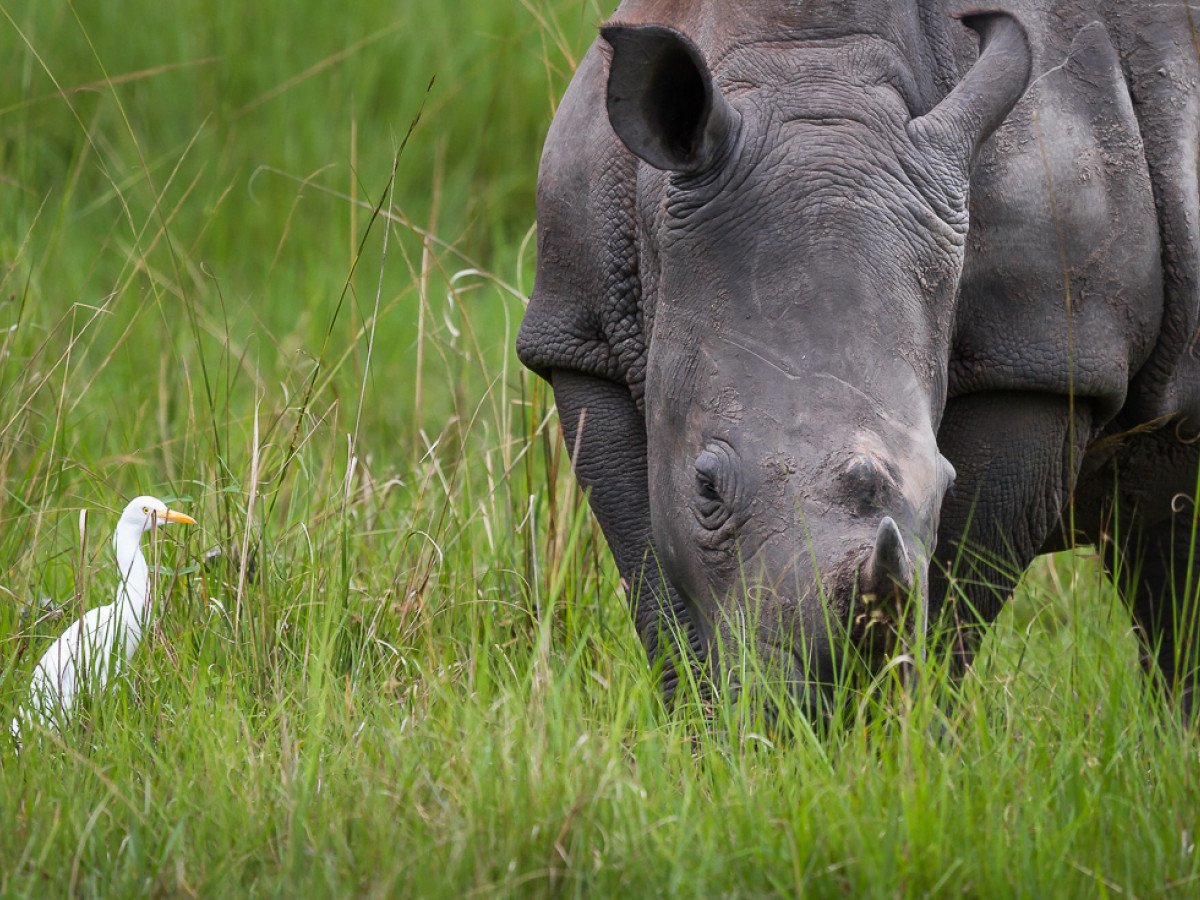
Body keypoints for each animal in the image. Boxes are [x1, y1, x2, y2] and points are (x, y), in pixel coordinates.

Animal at [517, 0, 1200, 717]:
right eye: (706, 486)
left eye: (945, 483)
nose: (825, 708)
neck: (808, 73)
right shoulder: (581, 335)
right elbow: (654, 581)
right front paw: (711, 729)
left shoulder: (1045, 358)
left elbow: (957, 596)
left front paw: (896, 733)